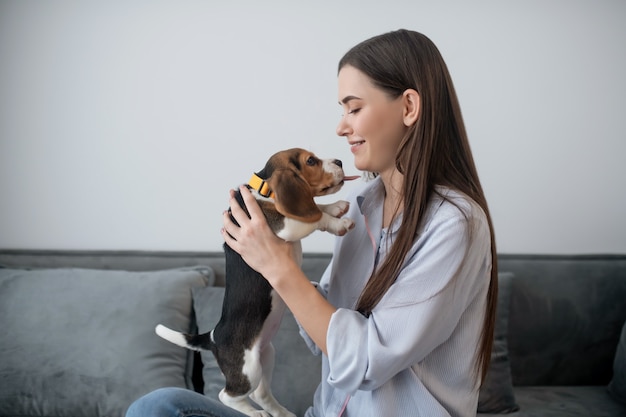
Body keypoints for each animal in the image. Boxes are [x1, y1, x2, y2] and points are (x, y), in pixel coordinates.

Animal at [155, 147, 356, 416]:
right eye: (311, 161)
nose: (340, 161)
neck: (264, 190)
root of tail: (213, 337)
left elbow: (315, 207)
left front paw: (336, 206)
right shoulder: (285, 224)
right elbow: (315, 216)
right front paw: (338, 222)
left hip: (266, 354)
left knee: (260, 393)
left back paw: (281, 413)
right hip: (248, 369)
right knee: (227, 395)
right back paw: (253, 413)